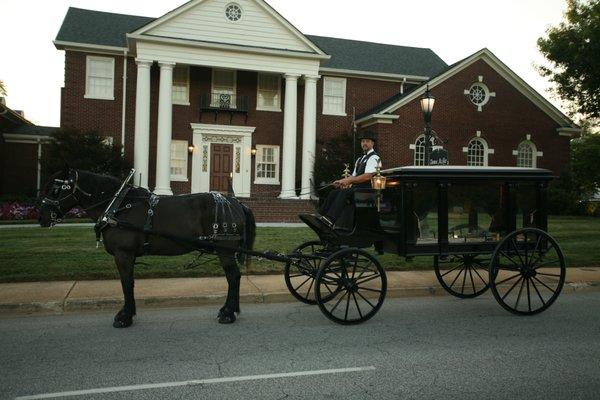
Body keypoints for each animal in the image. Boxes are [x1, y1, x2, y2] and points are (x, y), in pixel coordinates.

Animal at [39, 167, 255, 326]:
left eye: (56, 189)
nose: (41, 216)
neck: (118, 205)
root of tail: (236, 203)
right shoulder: (128, 255)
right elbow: (130, 283)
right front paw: (129, 313)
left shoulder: (123, 254)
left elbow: (126, 283)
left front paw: (124, 317)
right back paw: (230, 310)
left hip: (225, 249)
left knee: (233, 277)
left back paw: (228, 313)